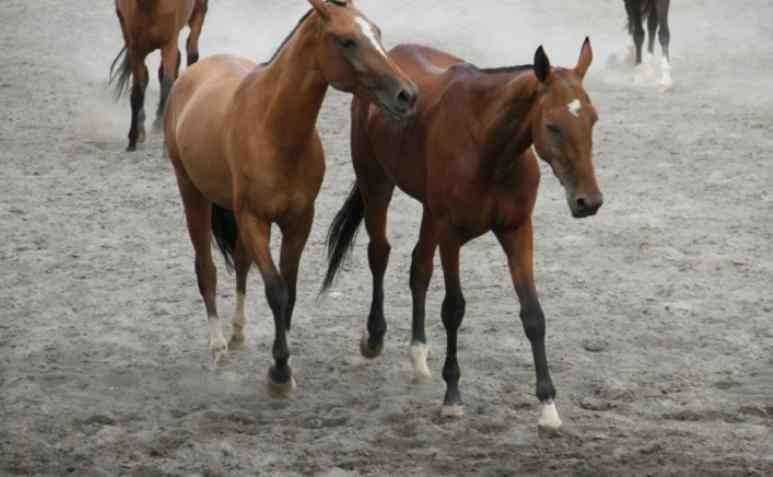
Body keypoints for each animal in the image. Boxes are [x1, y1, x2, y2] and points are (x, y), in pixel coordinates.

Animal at [108, 0, 210, 150]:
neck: (149, 5)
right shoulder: (135, 48)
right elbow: (137, 91)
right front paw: (134, 137)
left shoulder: (169, 41)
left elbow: (167, 84)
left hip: (197, 12)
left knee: (191, 51)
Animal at [164, 0, 416, 396]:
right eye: (346, 40)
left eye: (376, 32)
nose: (407, 94)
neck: (273, 129)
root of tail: (193, 75)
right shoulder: (254, 219)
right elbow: (276, 290)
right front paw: (280, 372)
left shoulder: (299, 221)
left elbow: (291, 292)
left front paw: (283, 360)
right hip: (192, 193)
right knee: (206, 268)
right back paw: (218, 347)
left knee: (241, 262)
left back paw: (237, 334)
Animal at [320, 39, 604, 430]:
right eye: (552, 125)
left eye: (593, 119)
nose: (589, 201)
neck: (488, 147)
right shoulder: (451, 235)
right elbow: (453, 309)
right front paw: (452, 396)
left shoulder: (517, 230)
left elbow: (533, 314)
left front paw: (548, 406)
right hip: (376, 182)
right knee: (379, 253)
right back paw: (375, 337)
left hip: (429, 211)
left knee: (419, 268)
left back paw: (418, 354)